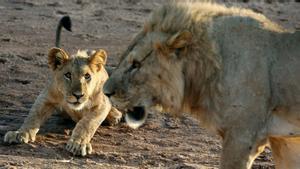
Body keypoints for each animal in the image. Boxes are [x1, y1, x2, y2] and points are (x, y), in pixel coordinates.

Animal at [4, 15, 122, 156]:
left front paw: (78, 144)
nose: (78, 95)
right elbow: (33, 116)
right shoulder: (46, 97)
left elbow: (87, 123)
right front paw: (19, 133)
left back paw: (115, 115)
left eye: (87, 76)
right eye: (68, 75)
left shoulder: (101, 104)